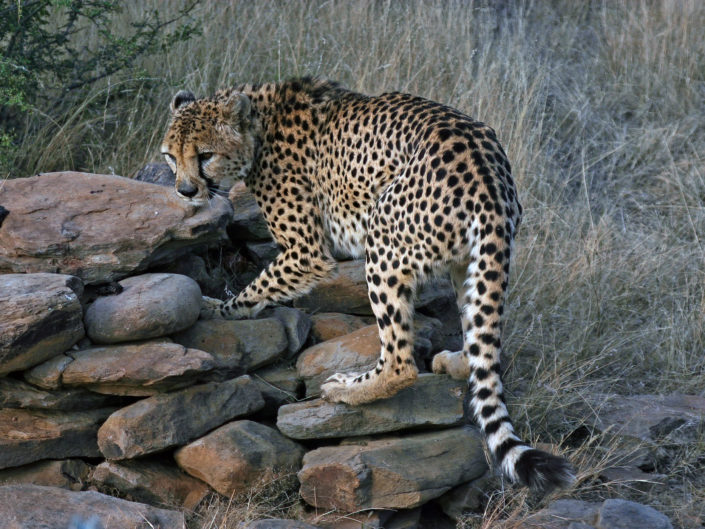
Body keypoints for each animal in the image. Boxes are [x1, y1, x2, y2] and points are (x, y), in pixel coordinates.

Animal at [161, 77, 574, 492]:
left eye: (205, 155)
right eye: (170, 156)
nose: (185, 191)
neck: (261, 124)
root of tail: (487, 171)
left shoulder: (307, 251)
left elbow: (257, 288)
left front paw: (218, 309)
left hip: (383, 237)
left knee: (400, 362)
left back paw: (348, 388)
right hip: (468, 260)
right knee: (479, 332)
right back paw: (458, 361)